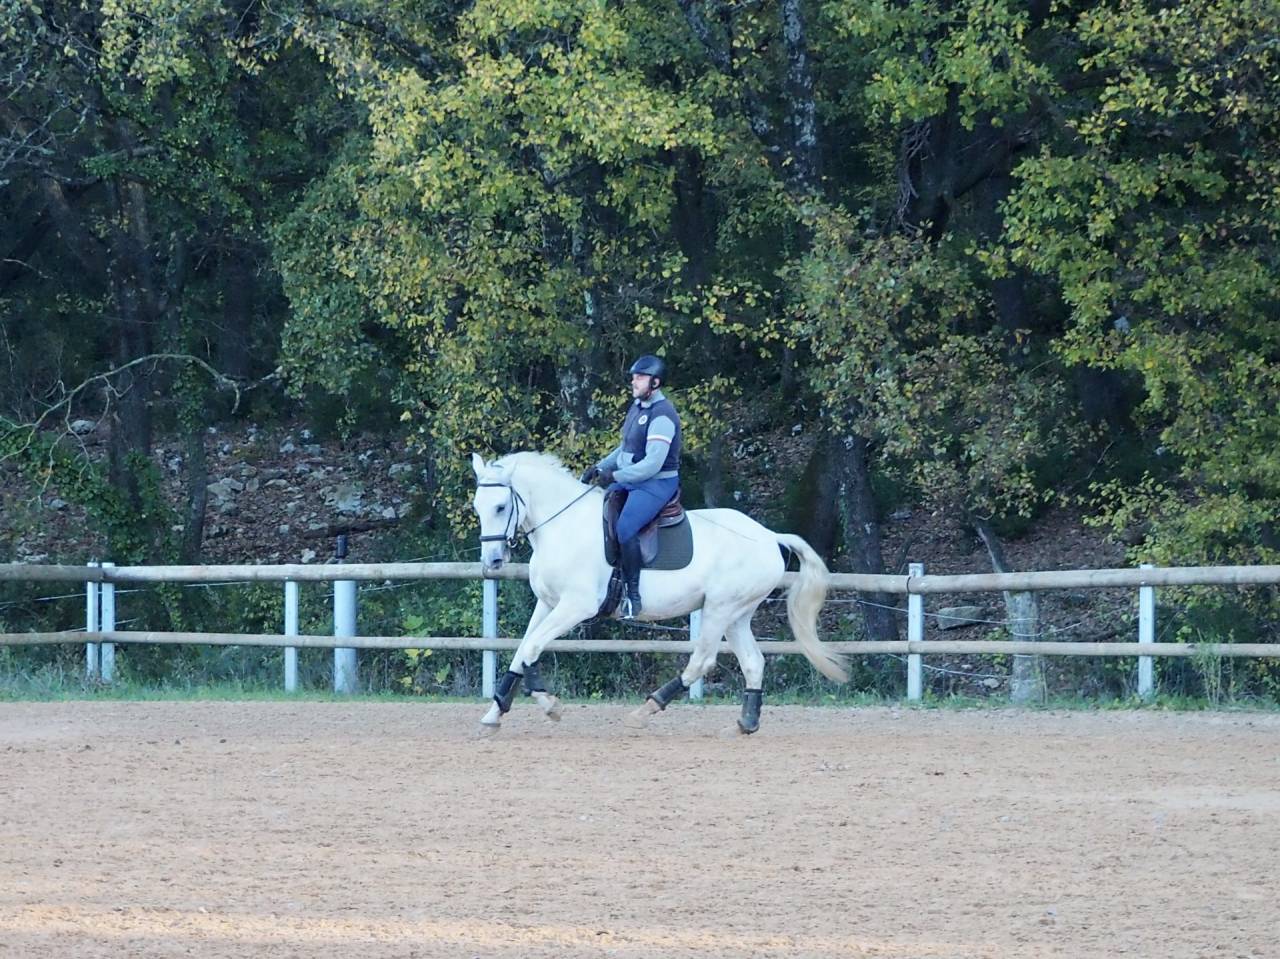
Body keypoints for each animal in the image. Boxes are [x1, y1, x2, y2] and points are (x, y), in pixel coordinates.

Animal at [470, 451, 849, 734]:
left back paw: (647, 709)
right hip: (737, 615)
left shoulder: (576, 606)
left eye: (501, 507)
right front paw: (494, 713)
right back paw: (746, 723)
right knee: (753, 662)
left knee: (702, 661)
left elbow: (532, 647)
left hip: (719, 610)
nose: (492, 561)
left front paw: (549, 704)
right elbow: (521, 651)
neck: (563, 526)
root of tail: (769, 536)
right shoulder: (547, 604)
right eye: (477, 506)